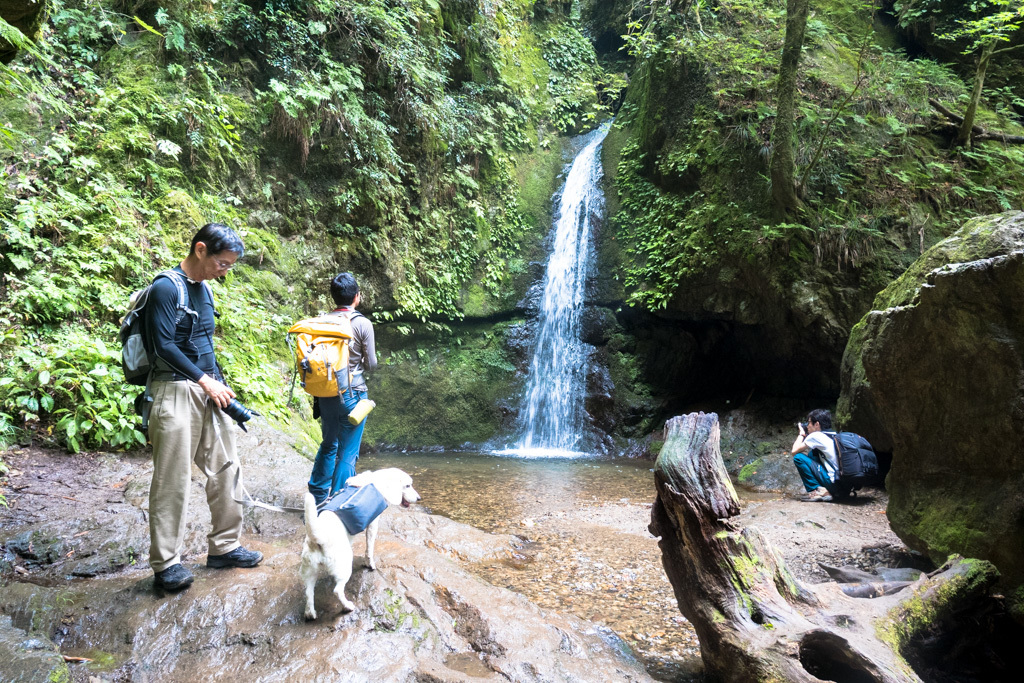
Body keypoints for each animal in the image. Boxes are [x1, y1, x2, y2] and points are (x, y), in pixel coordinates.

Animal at [299, 471, 419, 618]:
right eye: (408, 485)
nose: (419, 498)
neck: (376, 482)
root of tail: (318, 538)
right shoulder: (373, 524)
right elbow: (369, 549)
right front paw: (370, 564)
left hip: (309, 572)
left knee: (308, 593)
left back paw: (310, 614)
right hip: (344, 568)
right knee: (337, 590)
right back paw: (347, 606)